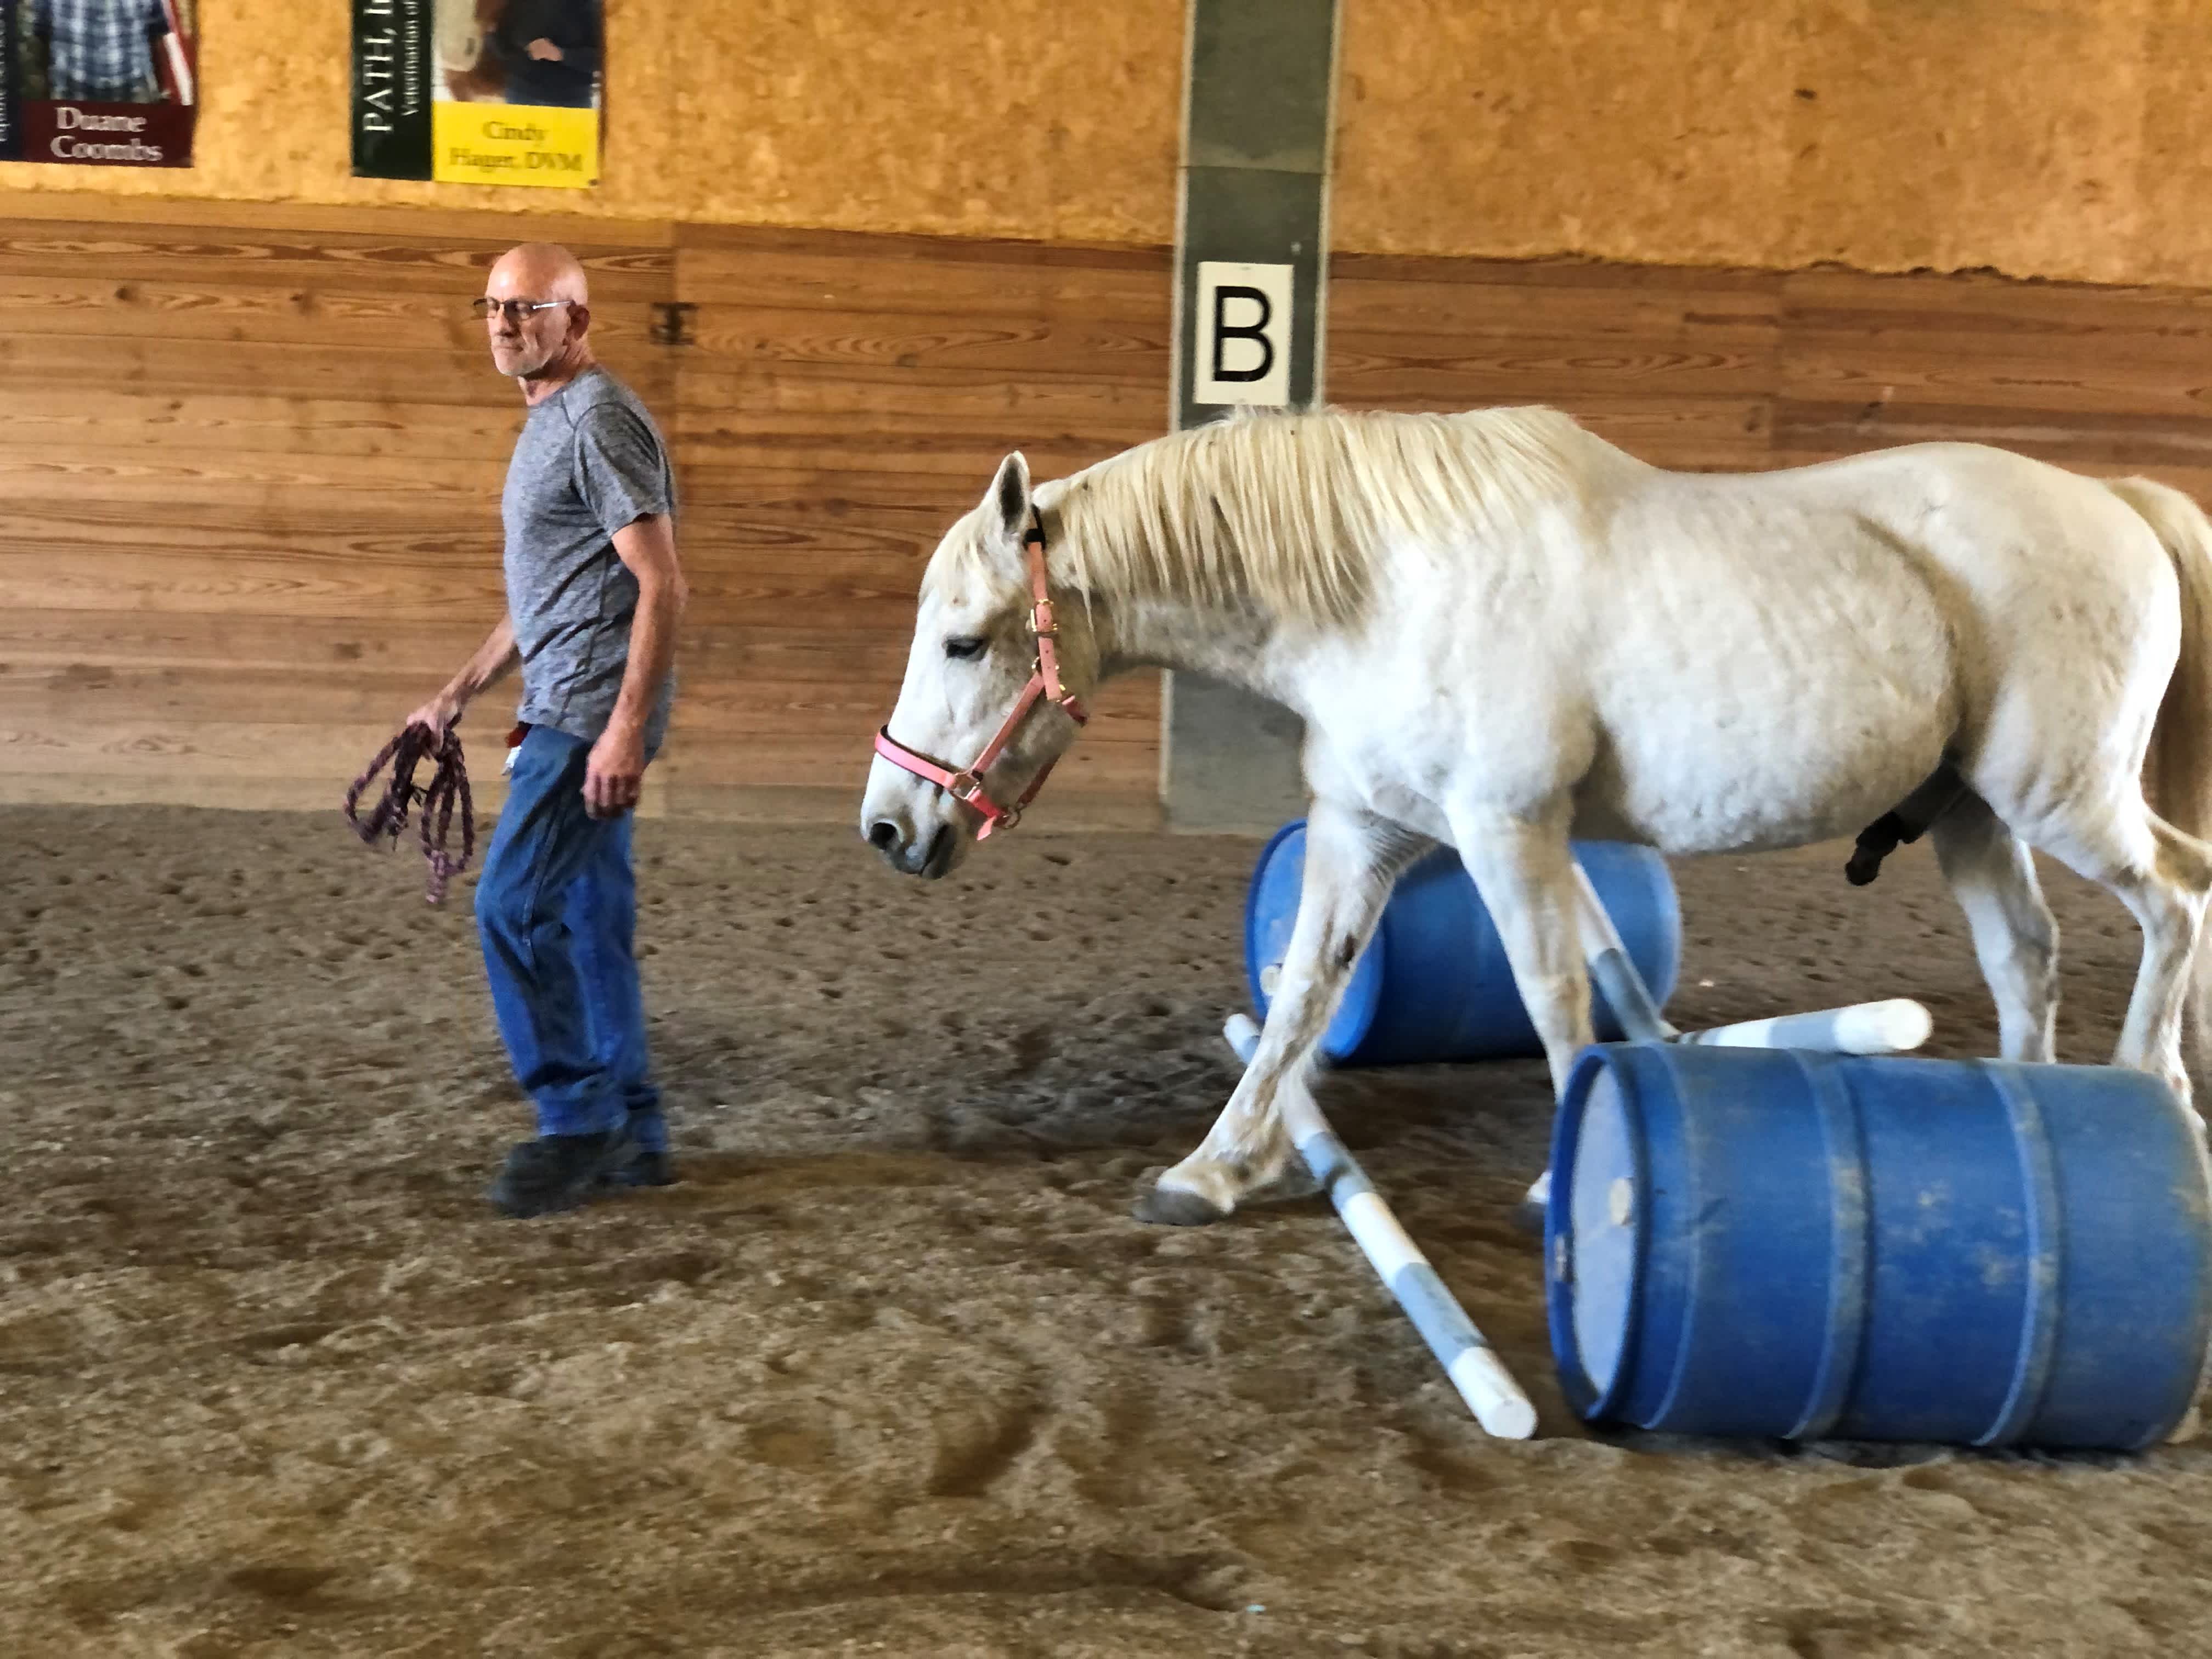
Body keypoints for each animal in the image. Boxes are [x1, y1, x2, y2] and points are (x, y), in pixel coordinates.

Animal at [860, 406, 2212, 1226]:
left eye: (965, 640)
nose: (890, 829)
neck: (1382, 590)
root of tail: (2120, 502)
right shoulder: (1360, 832)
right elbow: (1303, 995)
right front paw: (1217, 1168)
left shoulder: (1511, 829)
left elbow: (1556, 997)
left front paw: (1573, 1175)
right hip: (1974, 812)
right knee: (2026, 955)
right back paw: (2030, 1111)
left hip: (2062, 796)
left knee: (2177, 897)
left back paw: (2154, 1087)